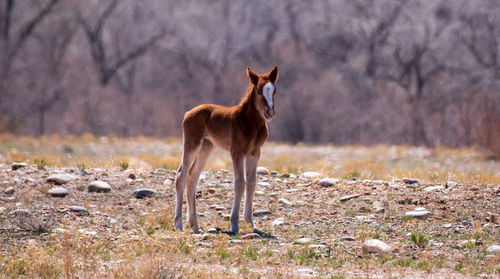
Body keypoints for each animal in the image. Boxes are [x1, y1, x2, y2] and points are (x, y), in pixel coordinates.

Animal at [175, 66, 278, 234]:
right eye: (258, 91)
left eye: (274, 91)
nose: (270, 112)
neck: (250, 122)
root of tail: (187, 113)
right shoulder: (236, 152)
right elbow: (240, 183)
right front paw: (234, 224)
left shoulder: (255, 152)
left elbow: (251, 183)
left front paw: (250, 223)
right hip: (192, 145)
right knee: (181, 176)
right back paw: (179, 224)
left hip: (206, 147)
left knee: (193, 178)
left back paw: (195, 225)